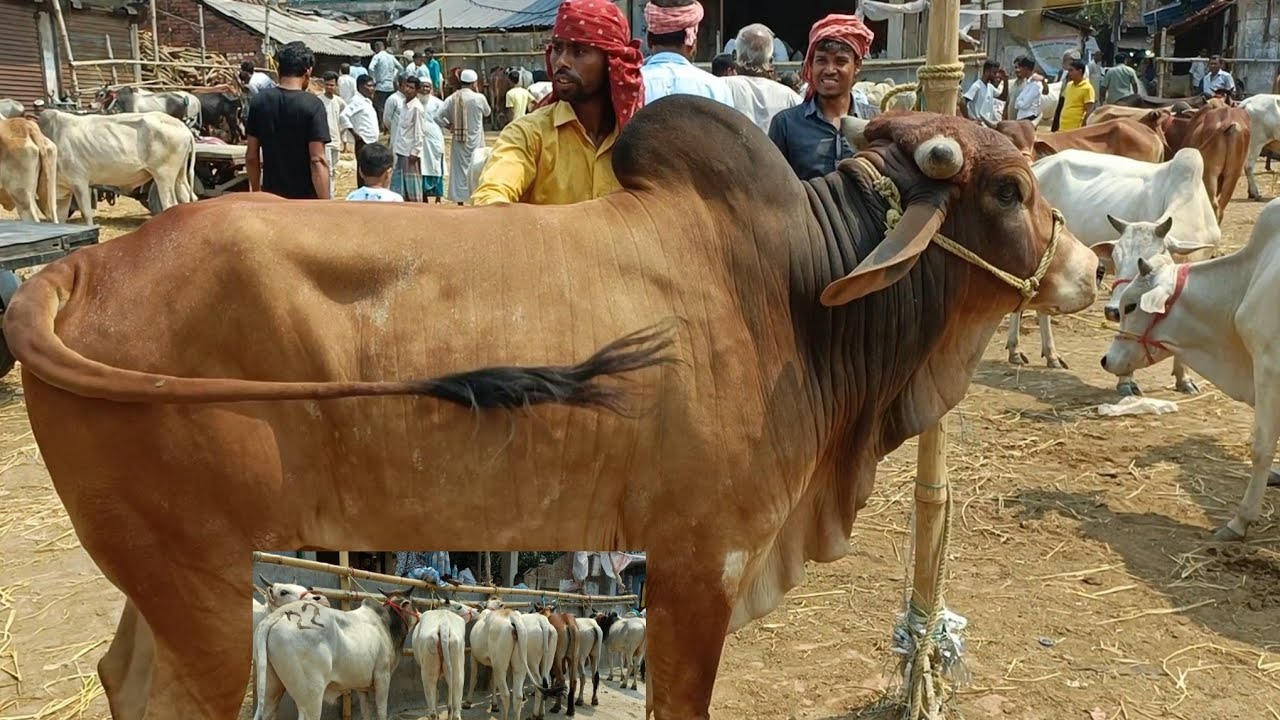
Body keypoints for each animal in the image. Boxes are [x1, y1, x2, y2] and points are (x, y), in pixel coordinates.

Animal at [33, 108, 196, 225]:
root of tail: (183, 127)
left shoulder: (79, 181)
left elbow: (86, 214)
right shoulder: (63, 189)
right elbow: (60, 218)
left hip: (163, 175)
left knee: (170, 203)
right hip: (179, 175)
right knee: (186, 197)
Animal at [1007, 147, 1219, 396]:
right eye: (1116, 259)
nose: (1112, 311)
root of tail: (1036, 165)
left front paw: (1184, 379)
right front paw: (1126, 381)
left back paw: (1051, 355)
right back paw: (1015, 351)